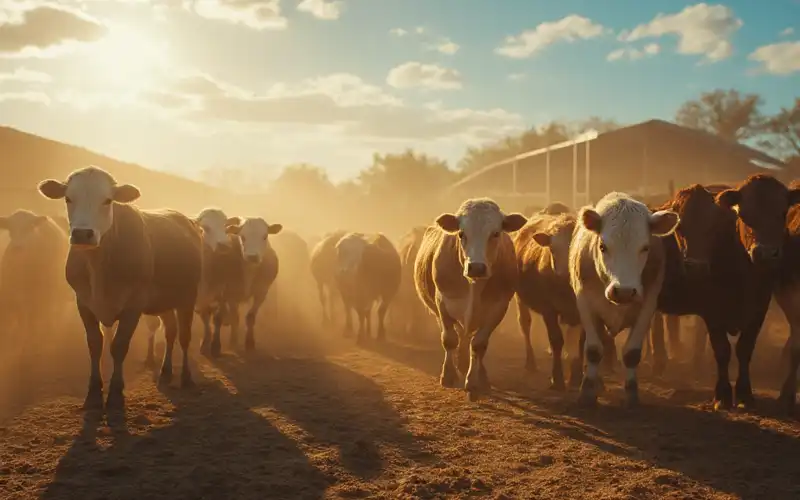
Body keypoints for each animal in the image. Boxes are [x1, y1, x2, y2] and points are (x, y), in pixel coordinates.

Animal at [37, 166, 203, 408]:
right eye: (68, 198)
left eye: (107, 200)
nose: (82, 234)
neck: (99, 268)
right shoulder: (83, 302)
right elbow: (95, 343)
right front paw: (94, 387)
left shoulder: (134, 304)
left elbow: (119, 345)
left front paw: (116, 388)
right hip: (163, 300)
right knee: (170, 332)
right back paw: (165, 371)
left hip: (188, 296)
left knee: (184, 336)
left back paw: (186, 377)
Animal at [416, 197, 528, 400]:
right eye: (461, 233)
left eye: (496, 233)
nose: (476, 267)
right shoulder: (443, 303)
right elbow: (449, 339)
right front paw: (448, 375)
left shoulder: (498, 308)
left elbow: (479, 345)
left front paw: (474, 381)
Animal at [564, 191, 680, 406]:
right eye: (602, 246)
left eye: (645, 247)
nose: (624, 291)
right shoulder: (585, 304)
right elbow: (593, 350)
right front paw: (587, 392)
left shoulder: (647, 306)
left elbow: (632, 353)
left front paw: (632, 394)